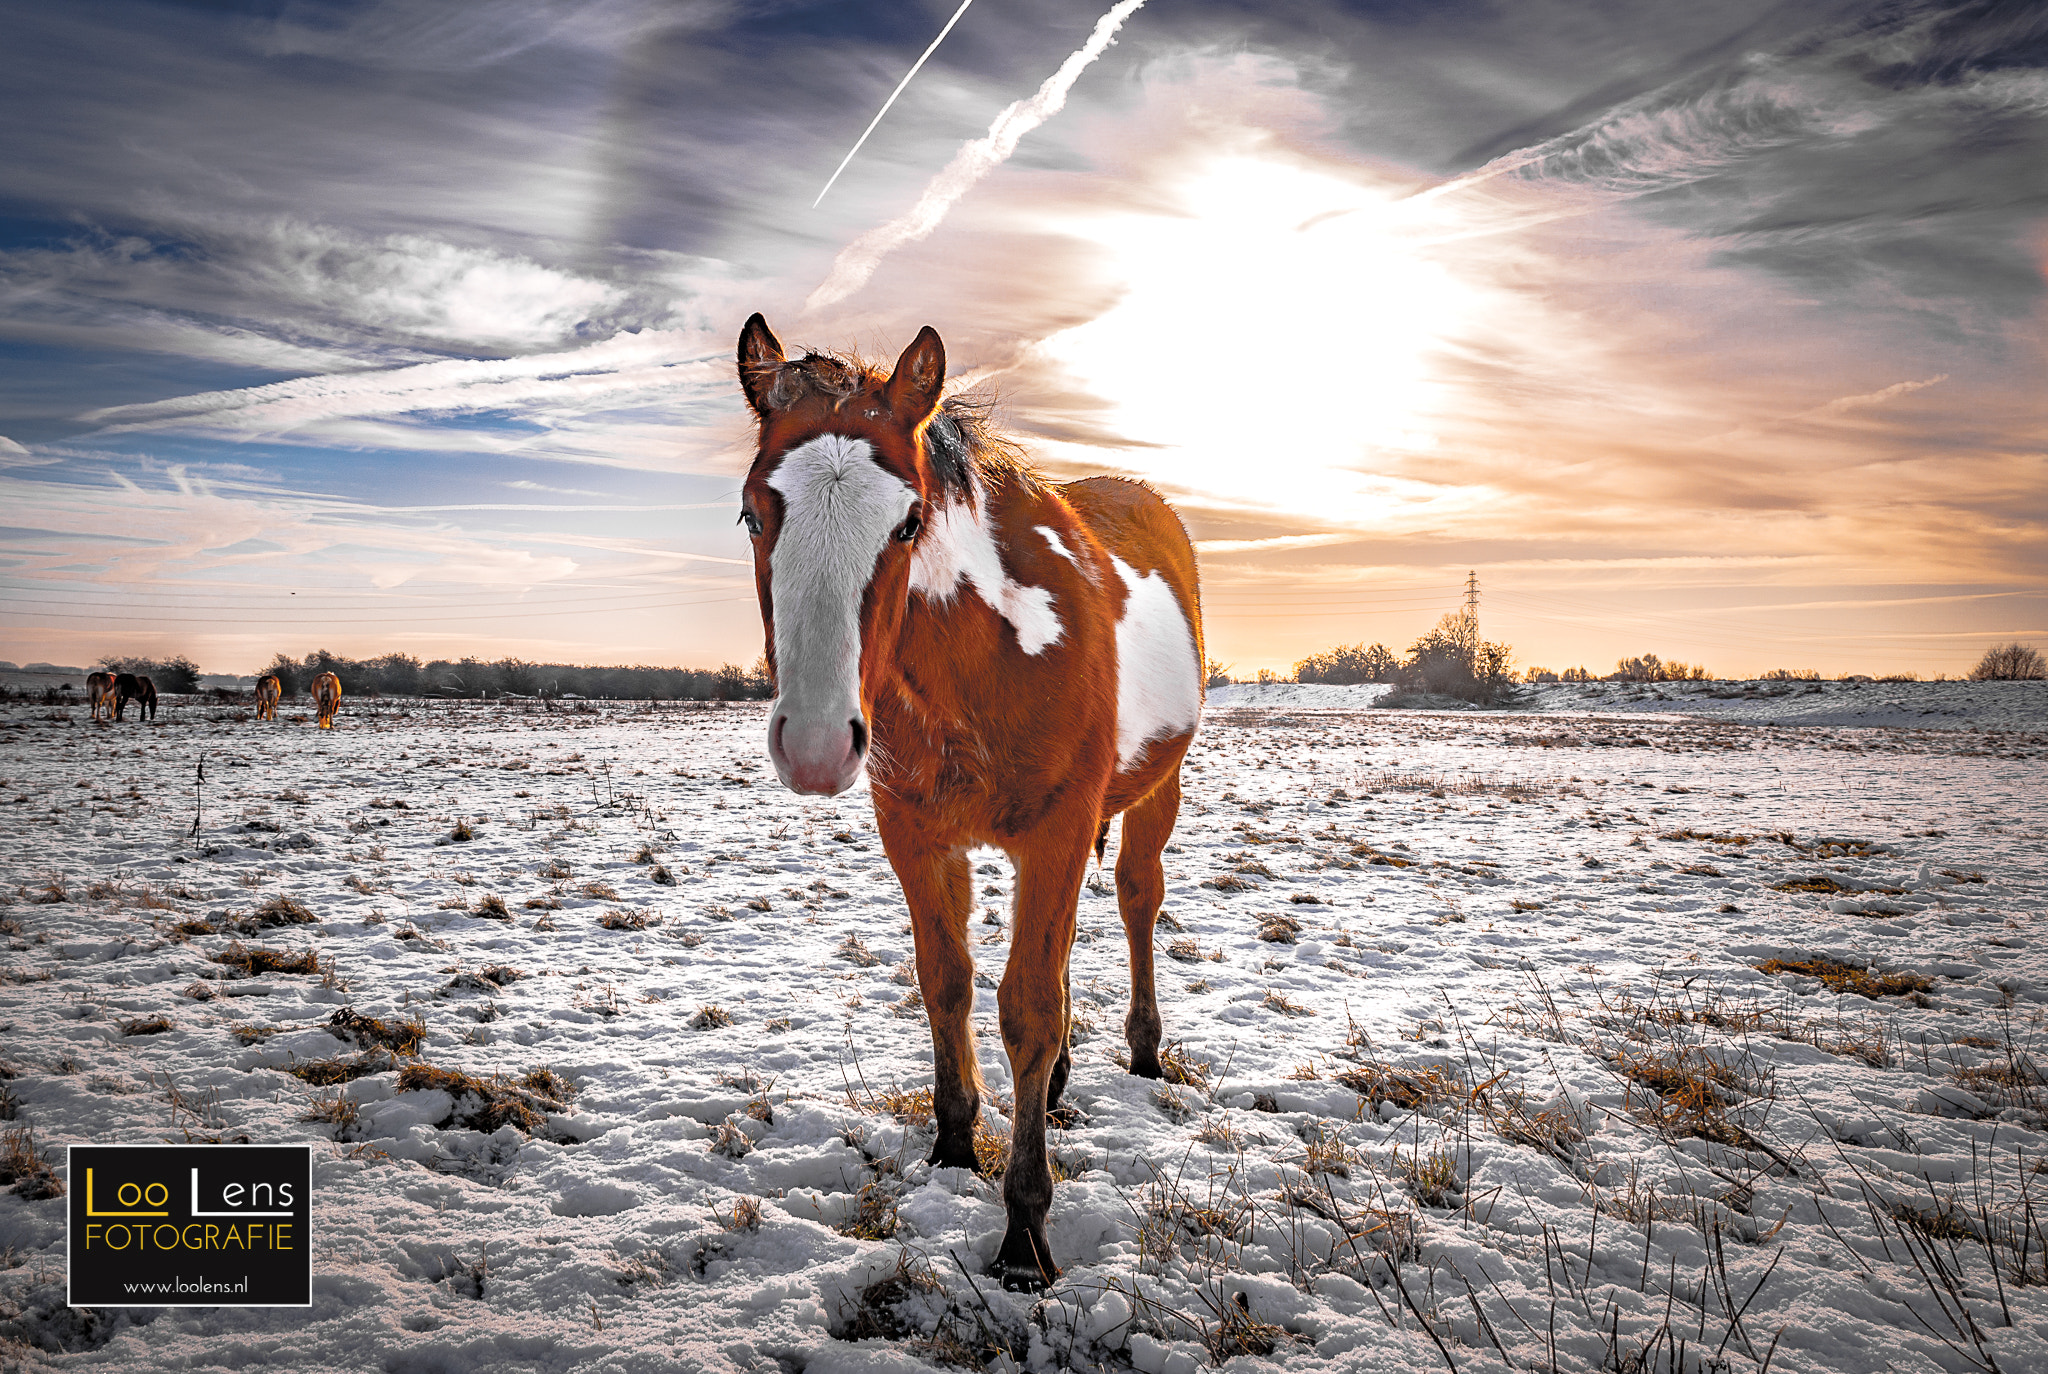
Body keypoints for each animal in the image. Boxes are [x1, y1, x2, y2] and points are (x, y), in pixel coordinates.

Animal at [736, 315, 1204, 1290]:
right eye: (753, 514)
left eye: (909, 519)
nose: (814, 743)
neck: (987, 656)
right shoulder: (916, 835)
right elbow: (945, 982)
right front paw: (954, 1145)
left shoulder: (1058, 833)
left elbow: (1027, 1008)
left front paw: (1024, 1234)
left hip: (1156, 792)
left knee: (1137, 901)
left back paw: (1143, 1050)